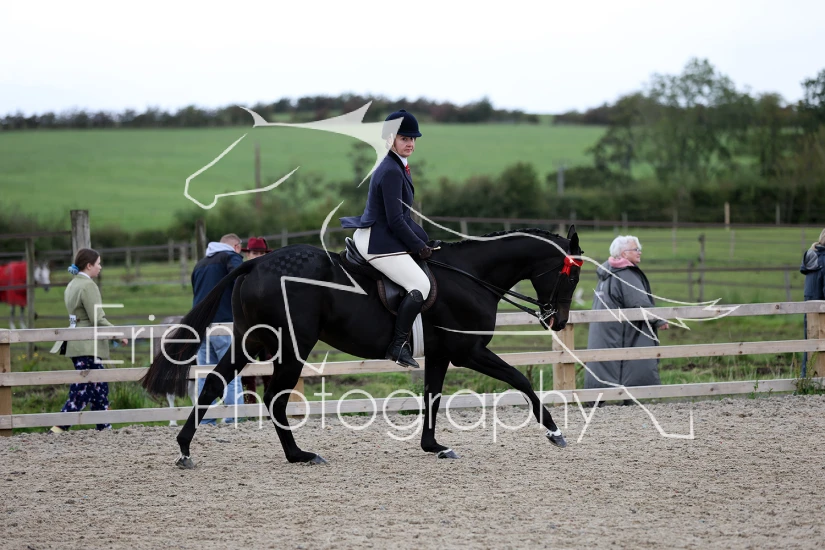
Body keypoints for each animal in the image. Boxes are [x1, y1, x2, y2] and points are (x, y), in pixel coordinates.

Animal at [141, 226, 583, 468]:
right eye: (572, 277)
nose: (558, 320)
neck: (471, 275)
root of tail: (255, 263)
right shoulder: (468, 351)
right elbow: (519, 381)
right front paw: (555, 431)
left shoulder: (441, 354)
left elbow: (432, 396)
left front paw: (434, 446)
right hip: (292, 345)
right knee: (273, 397)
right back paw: (299, 455)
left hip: (252, 339)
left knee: (214, 384)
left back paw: (184, 449)